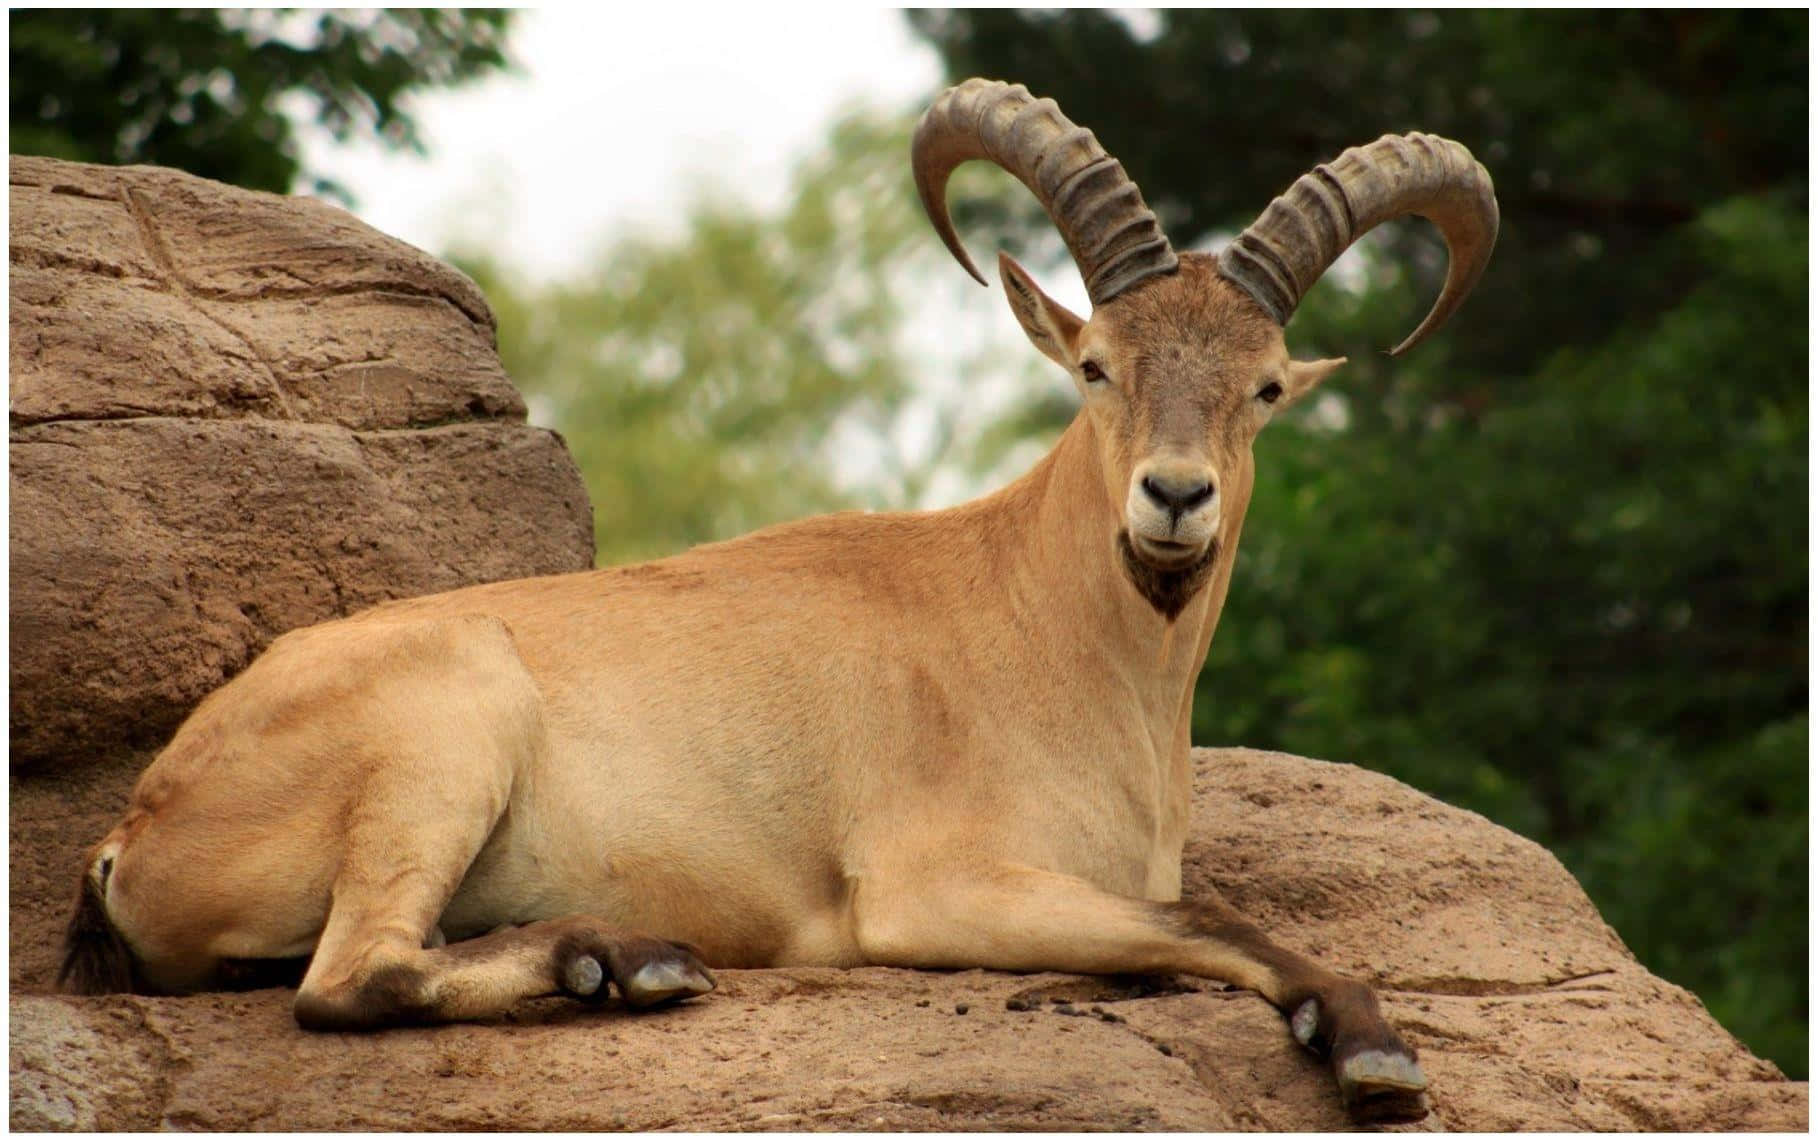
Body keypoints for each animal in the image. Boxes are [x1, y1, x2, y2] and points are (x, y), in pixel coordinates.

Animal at [62, 79, 1496, 1123]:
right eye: (1095, 364)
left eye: (1265, 386)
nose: (1174, 499)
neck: (1046, 634)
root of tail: (136, 831)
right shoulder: (931, 891)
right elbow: (1204, 918)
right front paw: (1369, 1048)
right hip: (444, 723)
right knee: (348, 977)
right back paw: (626, 961)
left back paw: (616, 956)